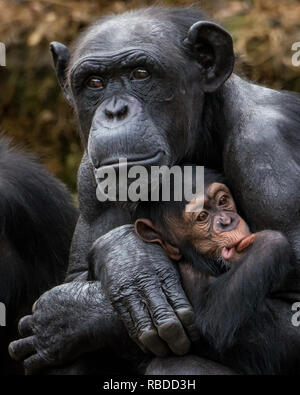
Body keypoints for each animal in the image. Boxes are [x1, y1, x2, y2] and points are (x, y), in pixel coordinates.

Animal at [8, 6, 300, 374]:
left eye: (141, 73)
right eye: (94, 82)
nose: (115, 111)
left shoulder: (271, 160)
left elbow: (292, 314)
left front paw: (77, 315)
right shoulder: (89, 175)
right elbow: (74, 274)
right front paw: (130, 261)